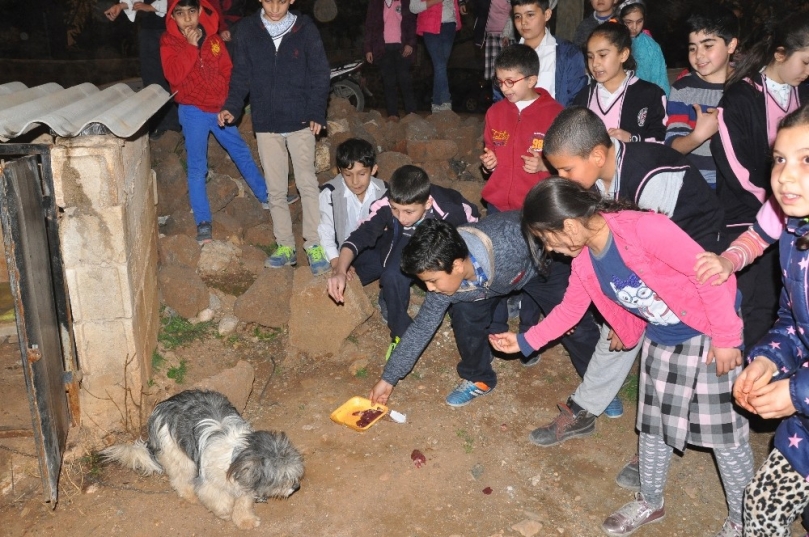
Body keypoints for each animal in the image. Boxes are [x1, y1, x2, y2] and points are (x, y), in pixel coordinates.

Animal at [100, 388, 304, 528]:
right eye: (282, 477)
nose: (296, 487)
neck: (237, 456)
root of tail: (162, 406)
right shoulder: (208, 483)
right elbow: (220, 501)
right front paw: (225, 514)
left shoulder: (245, 485)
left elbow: (243, 504)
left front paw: (245, 520)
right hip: (178, 455)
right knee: (179, 478)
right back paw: (189, 495)